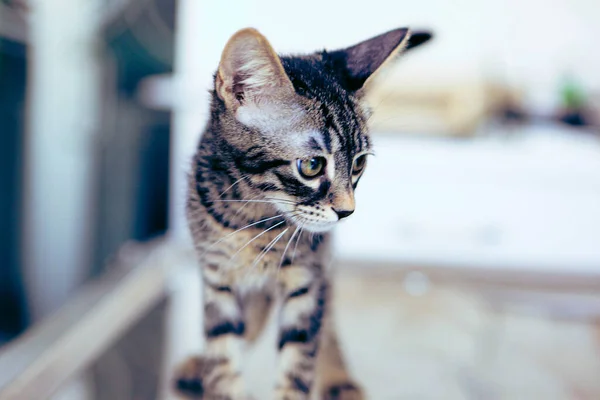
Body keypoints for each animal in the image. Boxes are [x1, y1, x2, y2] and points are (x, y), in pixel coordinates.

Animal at [173, 26, 432, 398]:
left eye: (359, 164)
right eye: (311, 165)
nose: (347, 211)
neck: (253, 217)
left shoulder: (308, 276)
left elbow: (300, 357)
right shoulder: (216, 276)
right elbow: (223, 352)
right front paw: (219, 381)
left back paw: (337, 377)